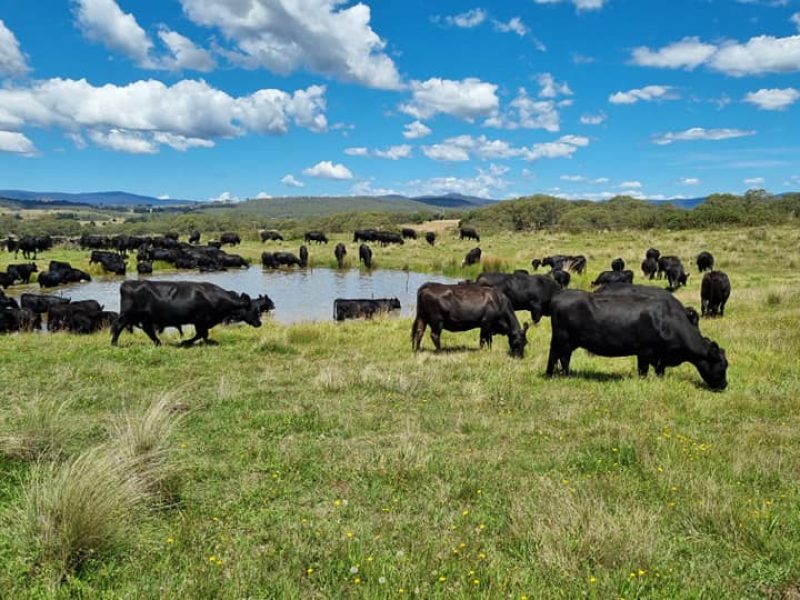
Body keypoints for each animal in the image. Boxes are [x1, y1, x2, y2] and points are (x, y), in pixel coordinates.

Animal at [110, 280, 262, 347]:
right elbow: (201, 333)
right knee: (118, 326)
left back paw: (158, 343)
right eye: (253, 310)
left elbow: (203, 334)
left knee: (148, 330)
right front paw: (186, 342)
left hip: (144, 317)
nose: (259, 323)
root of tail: (126, 283)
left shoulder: (202, 322)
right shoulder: (200, 320)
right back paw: (114, 344)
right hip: (128, 314)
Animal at [546, 290, 728, 390]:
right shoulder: (645, 352)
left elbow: (660, 372)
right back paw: (566, 376)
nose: (725, 385)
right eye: (721, 366)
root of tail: (559, 295)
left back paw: (551, 375)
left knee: (556, 356)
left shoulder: (660, 357)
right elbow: (643, 371)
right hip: (564, 340)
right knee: (562, 358)